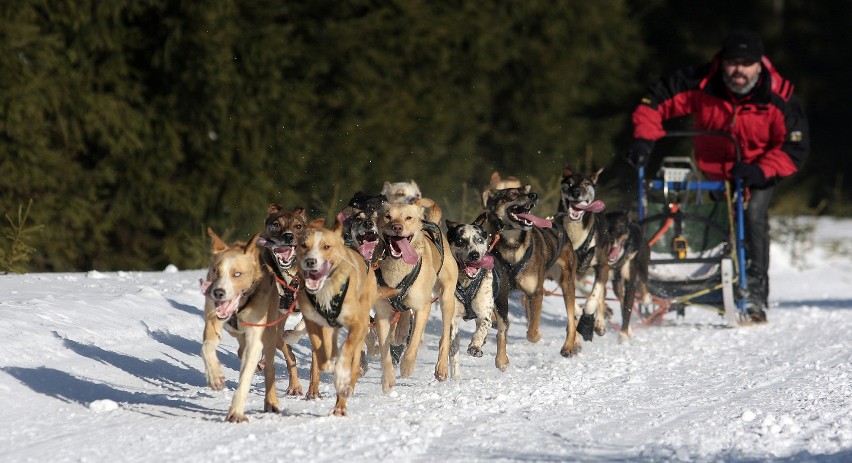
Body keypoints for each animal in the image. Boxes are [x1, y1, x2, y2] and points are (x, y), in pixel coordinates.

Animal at [199, 228, 280, 424]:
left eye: (237, 274)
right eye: (216, 271)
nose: (218, 292)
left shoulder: (255, 339)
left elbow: (245, 377)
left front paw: (235, 411)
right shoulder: (212, 321)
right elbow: (206, 348)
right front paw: (215, 376)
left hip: (271, 335)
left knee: (270, 368)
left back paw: (271, 401)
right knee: (240, 351)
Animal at [374, 198, 460, 390]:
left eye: (408, 217)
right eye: (387, 216)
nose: (397, 227)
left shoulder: (423, 307)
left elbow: (413, 343)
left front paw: (407, 366)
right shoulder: (381, 313)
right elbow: (384, 351)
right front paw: (387, 378)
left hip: (446, 299)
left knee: (444, 338)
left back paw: (441, 368)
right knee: (404, 313)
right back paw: (400, 330)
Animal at [446, 218, 512, 376]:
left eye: (479, 240)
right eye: (460, 240)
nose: (474, 254)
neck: (466, 282)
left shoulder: (485, 314)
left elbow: (482, 329)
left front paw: (475, 346)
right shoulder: (453, 319)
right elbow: (453, 349)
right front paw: (455, 375)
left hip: (501, 306)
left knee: (501, 332)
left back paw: (501, 360)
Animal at [480, 186, 580, 358]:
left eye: (525, 191)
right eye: (512, 194)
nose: (533, 195)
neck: (512, 244)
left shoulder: (536, 293)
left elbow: (532, 332)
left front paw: (537, 335)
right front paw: (492, 320)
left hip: (567, 284)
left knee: (571, 320)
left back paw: (568, 346)